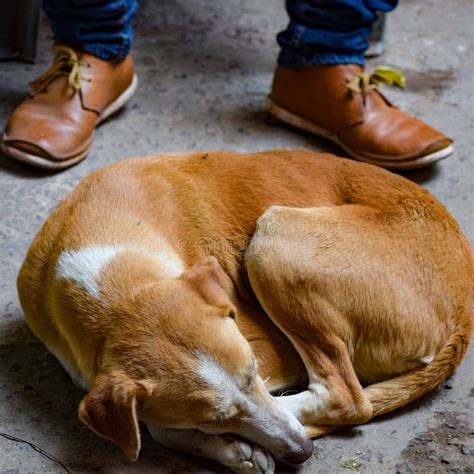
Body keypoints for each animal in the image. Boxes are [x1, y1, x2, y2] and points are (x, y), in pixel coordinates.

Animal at [16, 150, 472, 472]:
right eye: (217, 418)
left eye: (254, 371)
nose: (302, 452)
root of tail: (464, 309)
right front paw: (232, 448)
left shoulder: (270, 354)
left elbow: (158, 427)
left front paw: (235, 450)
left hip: (273, 238)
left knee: (348, 399)